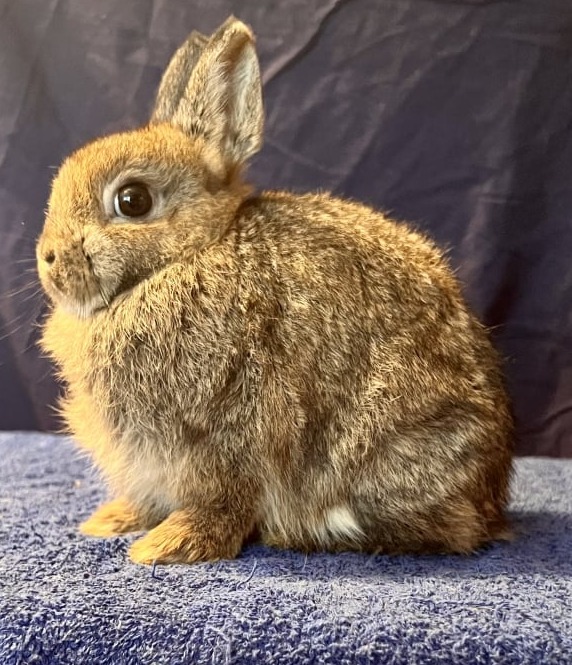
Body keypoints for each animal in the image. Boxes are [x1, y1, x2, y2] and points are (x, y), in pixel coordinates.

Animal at [36, 16, 512, 564]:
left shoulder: (226, 434)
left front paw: (165, 547)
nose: (47, 257)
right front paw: (112, 521)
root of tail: (491, 499)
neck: (193, 252)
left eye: (133, 201)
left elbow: (222, 502)